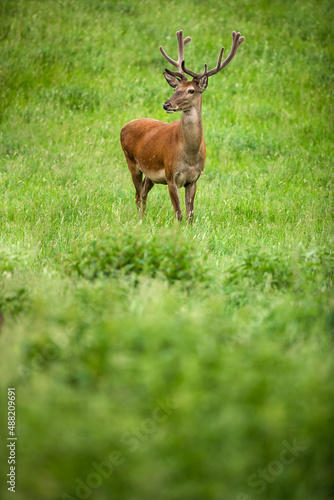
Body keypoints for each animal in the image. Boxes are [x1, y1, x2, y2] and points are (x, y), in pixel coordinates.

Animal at [120, 29, 243, 221]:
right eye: (175, 89)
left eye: (191, 90)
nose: (166, 104)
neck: (189, 155)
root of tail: (125, 126)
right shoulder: (171, 176)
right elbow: (178, 213)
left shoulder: (194, 179)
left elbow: (190, 214)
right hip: (131, 161)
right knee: (137, 195)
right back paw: (141, 219)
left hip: (151, 174)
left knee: (143, 193)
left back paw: (144, 218)